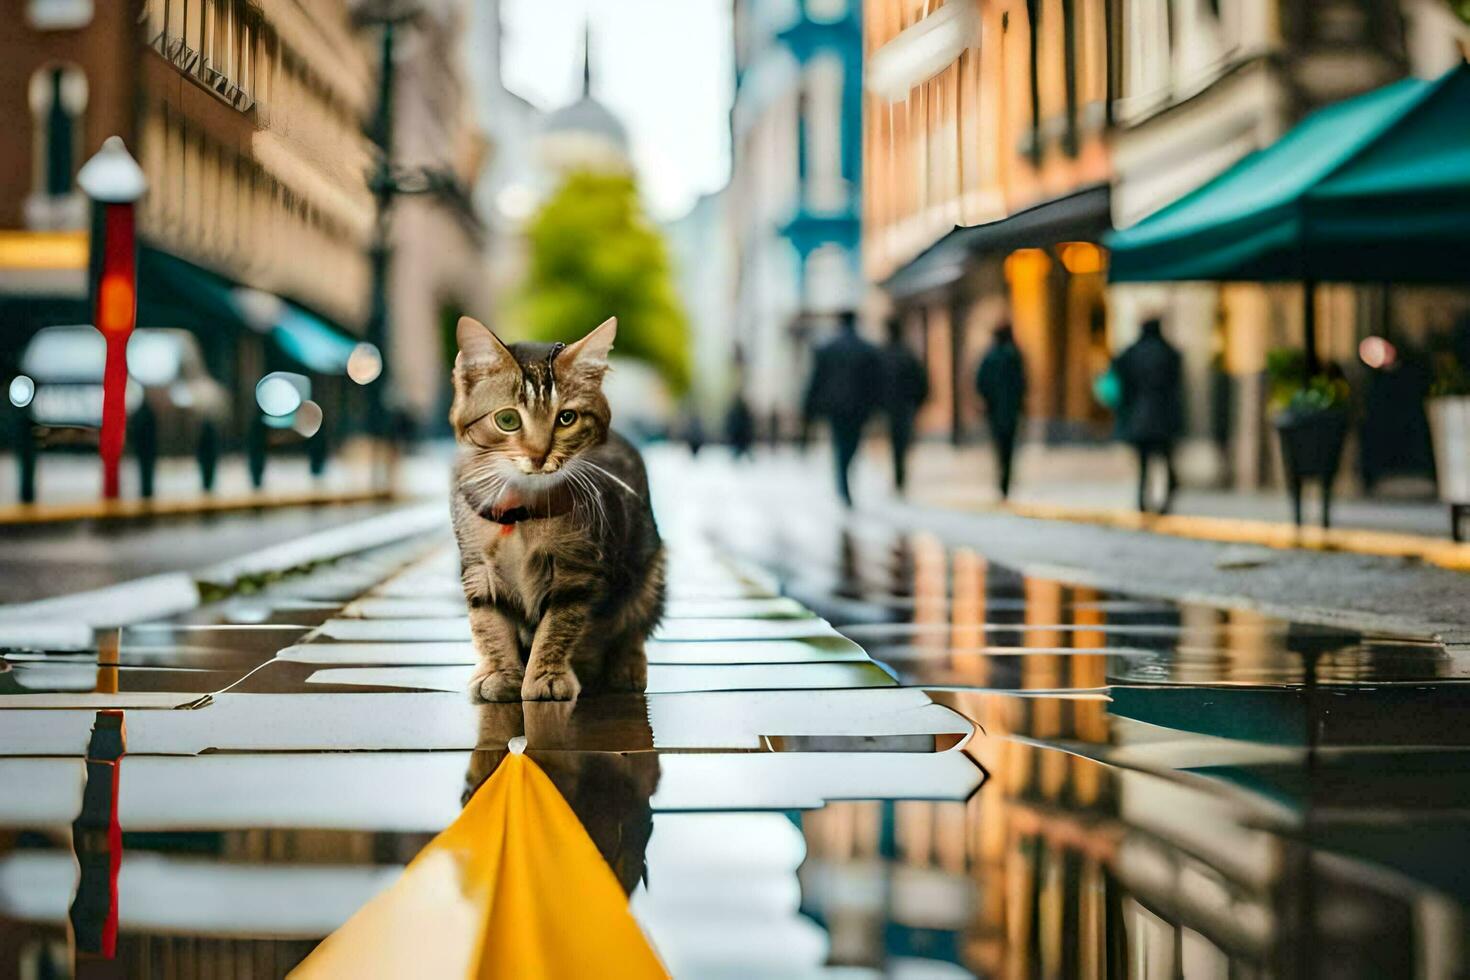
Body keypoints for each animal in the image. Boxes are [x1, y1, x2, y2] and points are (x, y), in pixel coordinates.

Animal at [446, 318, 667, 702]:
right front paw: (500, 672)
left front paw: (547, 675)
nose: (539, 455)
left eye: (566, 418)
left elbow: (559, 626)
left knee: (633, 624)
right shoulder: (477, 567)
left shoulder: (577, 570)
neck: (521, 511)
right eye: (507, 420)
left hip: (649, 566)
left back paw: (625, 666)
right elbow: (488, 622)